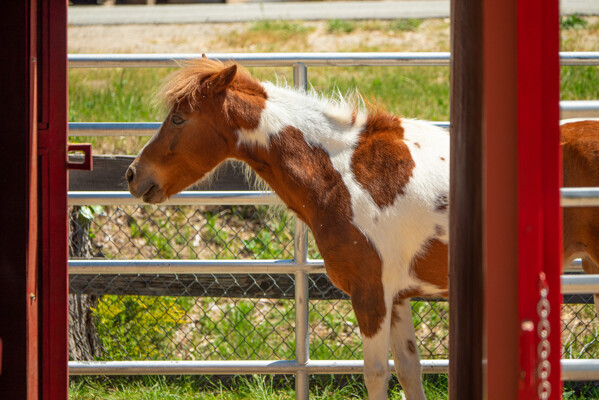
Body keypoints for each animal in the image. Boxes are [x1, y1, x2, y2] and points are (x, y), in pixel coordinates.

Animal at [126, 58, 598, 399]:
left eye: (180, 119)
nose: (133, 175)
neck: (343, 173)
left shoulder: (370, 297)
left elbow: (375, 374)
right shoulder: (398, 299)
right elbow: (409, 372)